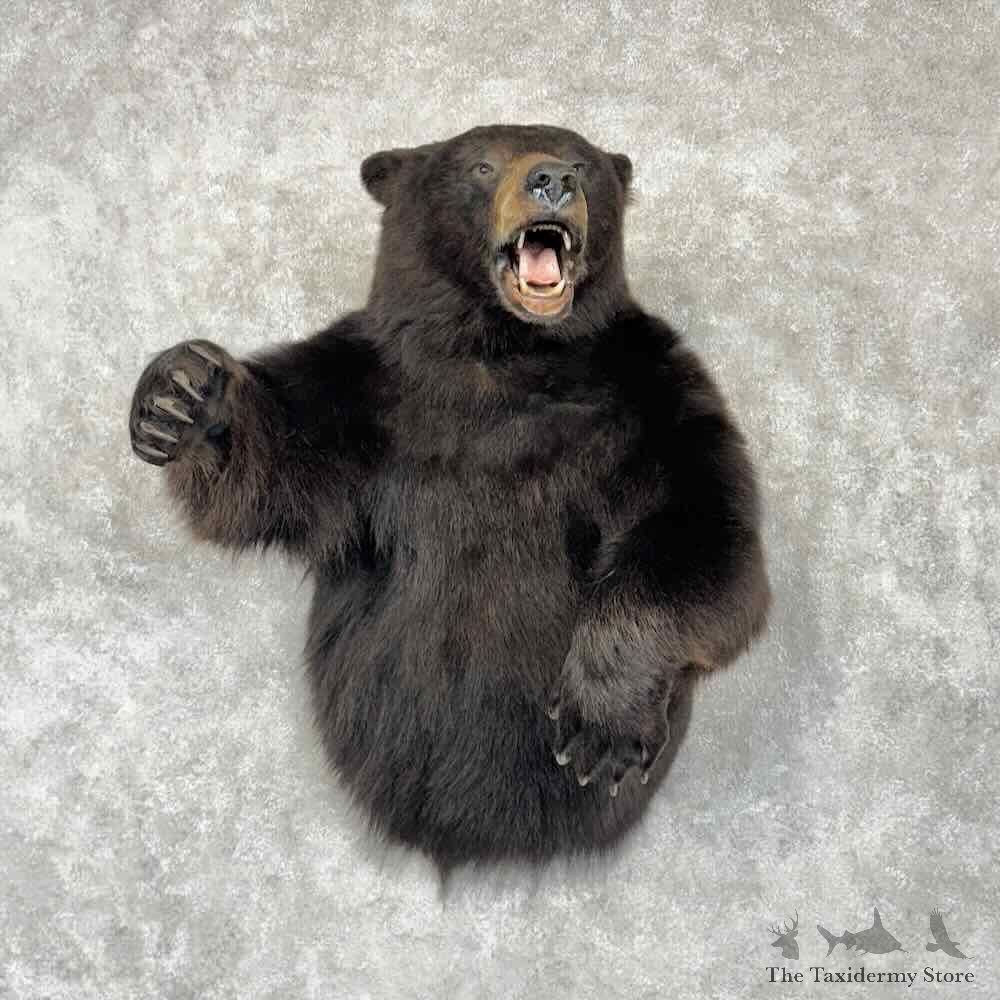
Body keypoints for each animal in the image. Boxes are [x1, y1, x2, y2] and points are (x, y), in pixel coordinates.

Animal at [128, 124, 771, 876]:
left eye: (582, 162)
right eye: (481, 165)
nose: (553, 179)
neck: (503, 355)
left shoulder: (651, 399)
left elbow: (703, 538)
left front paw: (599, 727)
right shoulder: (365, 391)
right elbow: (269, 472)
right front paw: (182, 395)